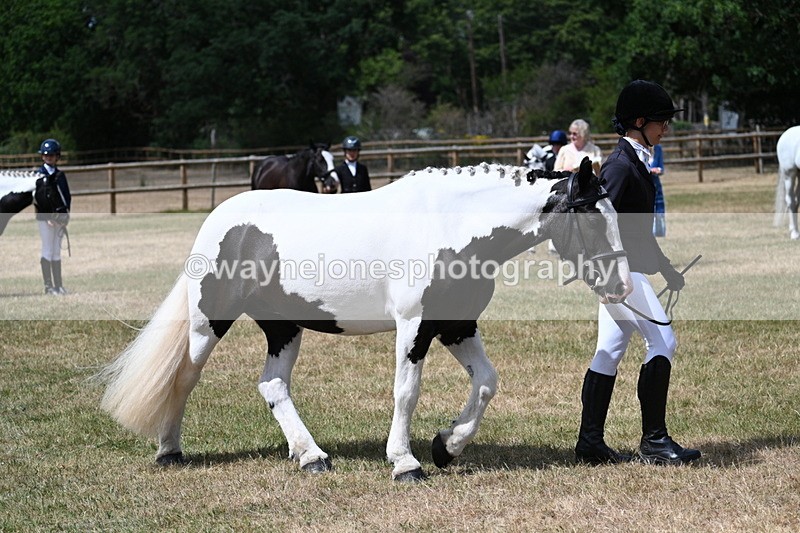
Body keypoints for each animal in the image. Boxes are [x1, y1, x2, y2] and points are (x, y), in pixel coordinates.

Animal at [99, 157, 632, 482]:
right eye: (591, 216)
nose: (623, 286)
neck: (451, 225)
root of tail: (219, 219)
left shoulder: (456, 326)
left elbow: (486, 382)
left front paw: (447, 446)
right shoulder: (414, 326)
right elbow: (406, 391)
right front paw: (405, 462)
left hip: (284, 328)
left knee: (273, 385)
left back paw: (310, 455)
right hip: (209, 322)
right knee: (183, 377)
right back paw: (170, 451)